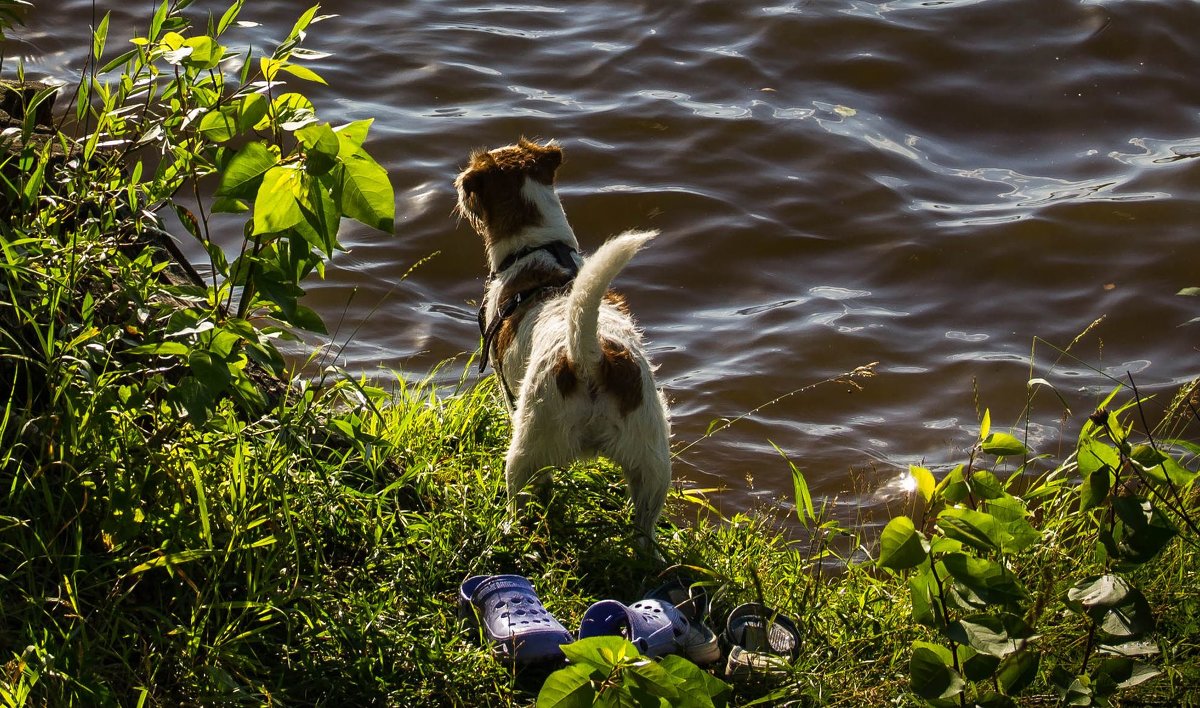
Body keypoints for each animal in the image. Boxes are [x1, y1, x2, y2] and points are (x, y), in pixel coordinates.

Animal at [453, 137, 672, 549]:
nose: (457, 184)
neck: (540, 249)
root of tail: (591, 358)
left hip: (527, 446)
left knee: (520, 494)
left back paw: (509, 530)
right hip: (652, 460)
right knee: (645, 530)